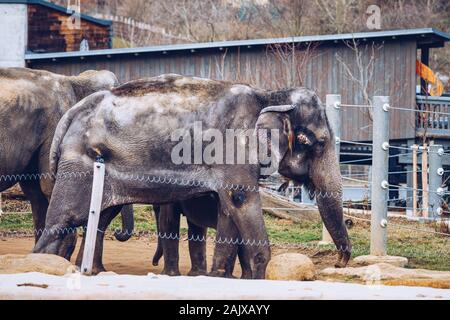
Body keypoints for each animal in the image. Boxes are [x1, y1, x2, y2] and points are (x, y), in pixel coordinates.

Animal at [34, 73, 352, 278]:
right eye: (317, 142)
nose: (339, 263)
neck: (270, 95)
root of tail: (73, 111)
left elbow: (229, 209)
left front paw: (222, 277)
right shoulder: (232, 148)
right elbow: (240, 199)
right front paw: (259, 275)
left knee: (94, 217)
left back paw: (86, 270)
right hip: (81, 162)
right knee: (63, 219)